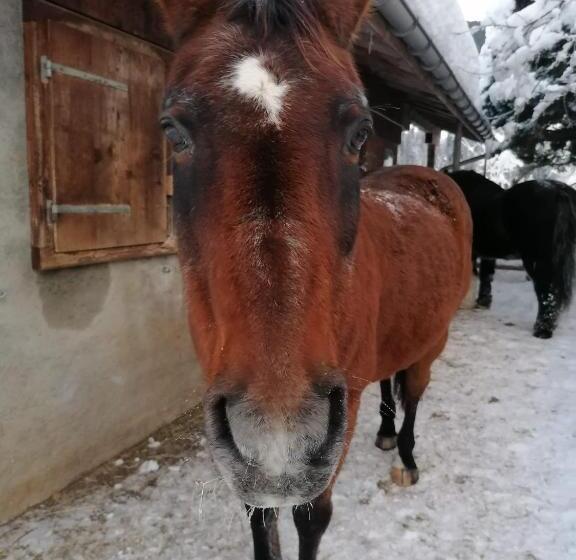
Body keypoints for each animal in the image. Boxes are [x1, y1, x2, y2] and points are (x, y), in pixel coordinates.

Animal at [155, 2, 470, 556]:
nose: (278, 434)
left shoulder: (334, 423)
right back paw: (386, 433)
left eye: (360, 131)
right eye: (173, 130)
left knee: (412, 392)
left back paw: (406, 457)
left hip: (432, 339)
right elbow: (260, 516)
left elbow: (310, 516)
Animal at [450, 170, 576, 336]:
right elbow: (486, 276)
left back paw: (542, 330)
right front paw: (482, 303)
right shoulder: (486, 253)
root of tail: (559, 192)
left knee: (547, 291)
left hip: (537, 260)